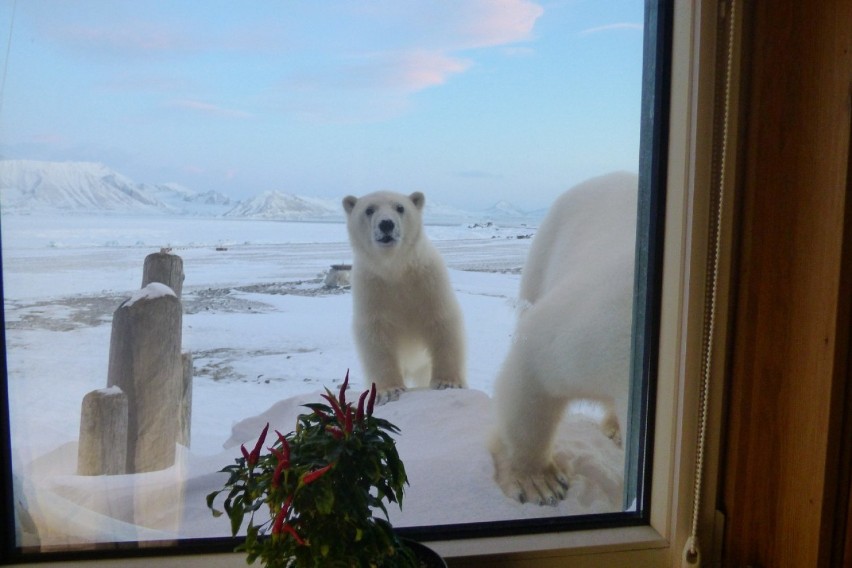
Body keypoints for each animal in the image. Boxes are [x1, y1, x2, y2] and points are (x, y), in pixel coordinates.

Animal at [342, 192, 470, 404]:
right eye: (369, 209)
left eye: (400, 207)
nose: (386, 224)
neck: (395, 267)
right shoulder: (372, 287)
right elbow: (376, 334)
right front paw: (388, 390)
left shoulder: (428, 280)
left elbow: (442, 321)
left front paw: (447, 382)